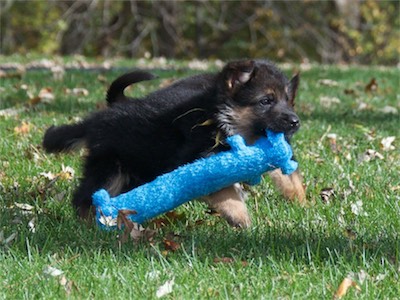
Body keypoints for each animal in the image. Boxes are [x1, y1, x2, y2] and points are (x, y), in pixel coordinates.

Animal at [43, 59, 304, 227]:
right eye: (266, 101)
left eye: (288, 101)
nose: (295, 122)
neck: (220, 119)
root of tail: (101, 116)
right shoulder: (196, 159)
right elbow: (224, 189)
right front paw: (241, 218)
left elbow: (290, 174)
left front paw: (300, 200)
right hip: (110, 168)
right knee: (85, 197)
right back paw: (90, 225)